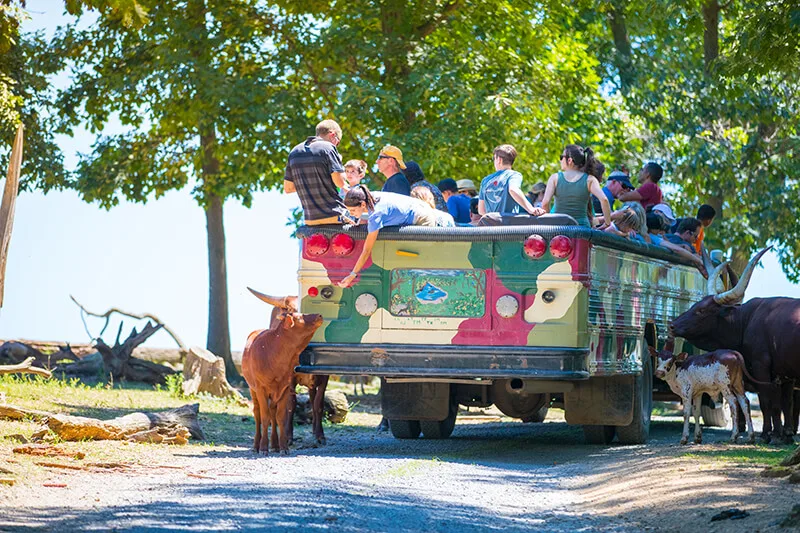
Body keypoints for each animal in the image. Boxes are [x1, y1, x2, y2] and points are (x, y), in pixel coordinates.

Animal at [241, 288, 324, 456]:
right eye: (297, 316)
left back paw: (275, 444)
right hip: (253, 390)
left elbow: (280, 416)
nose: (319, 315)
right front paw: (264, 447)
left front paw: (283, 446)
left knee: (274, 413)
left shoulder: (285, 388)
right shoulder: (262, 389)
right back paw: (256, 444)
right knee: (258, 414)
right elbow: (265, 417)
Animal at [668, 247, 800, 442]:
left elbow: (767, 402)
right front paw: (785, 435)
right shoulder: (783, 374)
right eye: (695, 305)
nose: (672, 325)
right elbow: (783, 403)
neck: (746, 321)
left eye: (701, 310)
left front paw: (770, 434)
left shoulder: (761, 368)